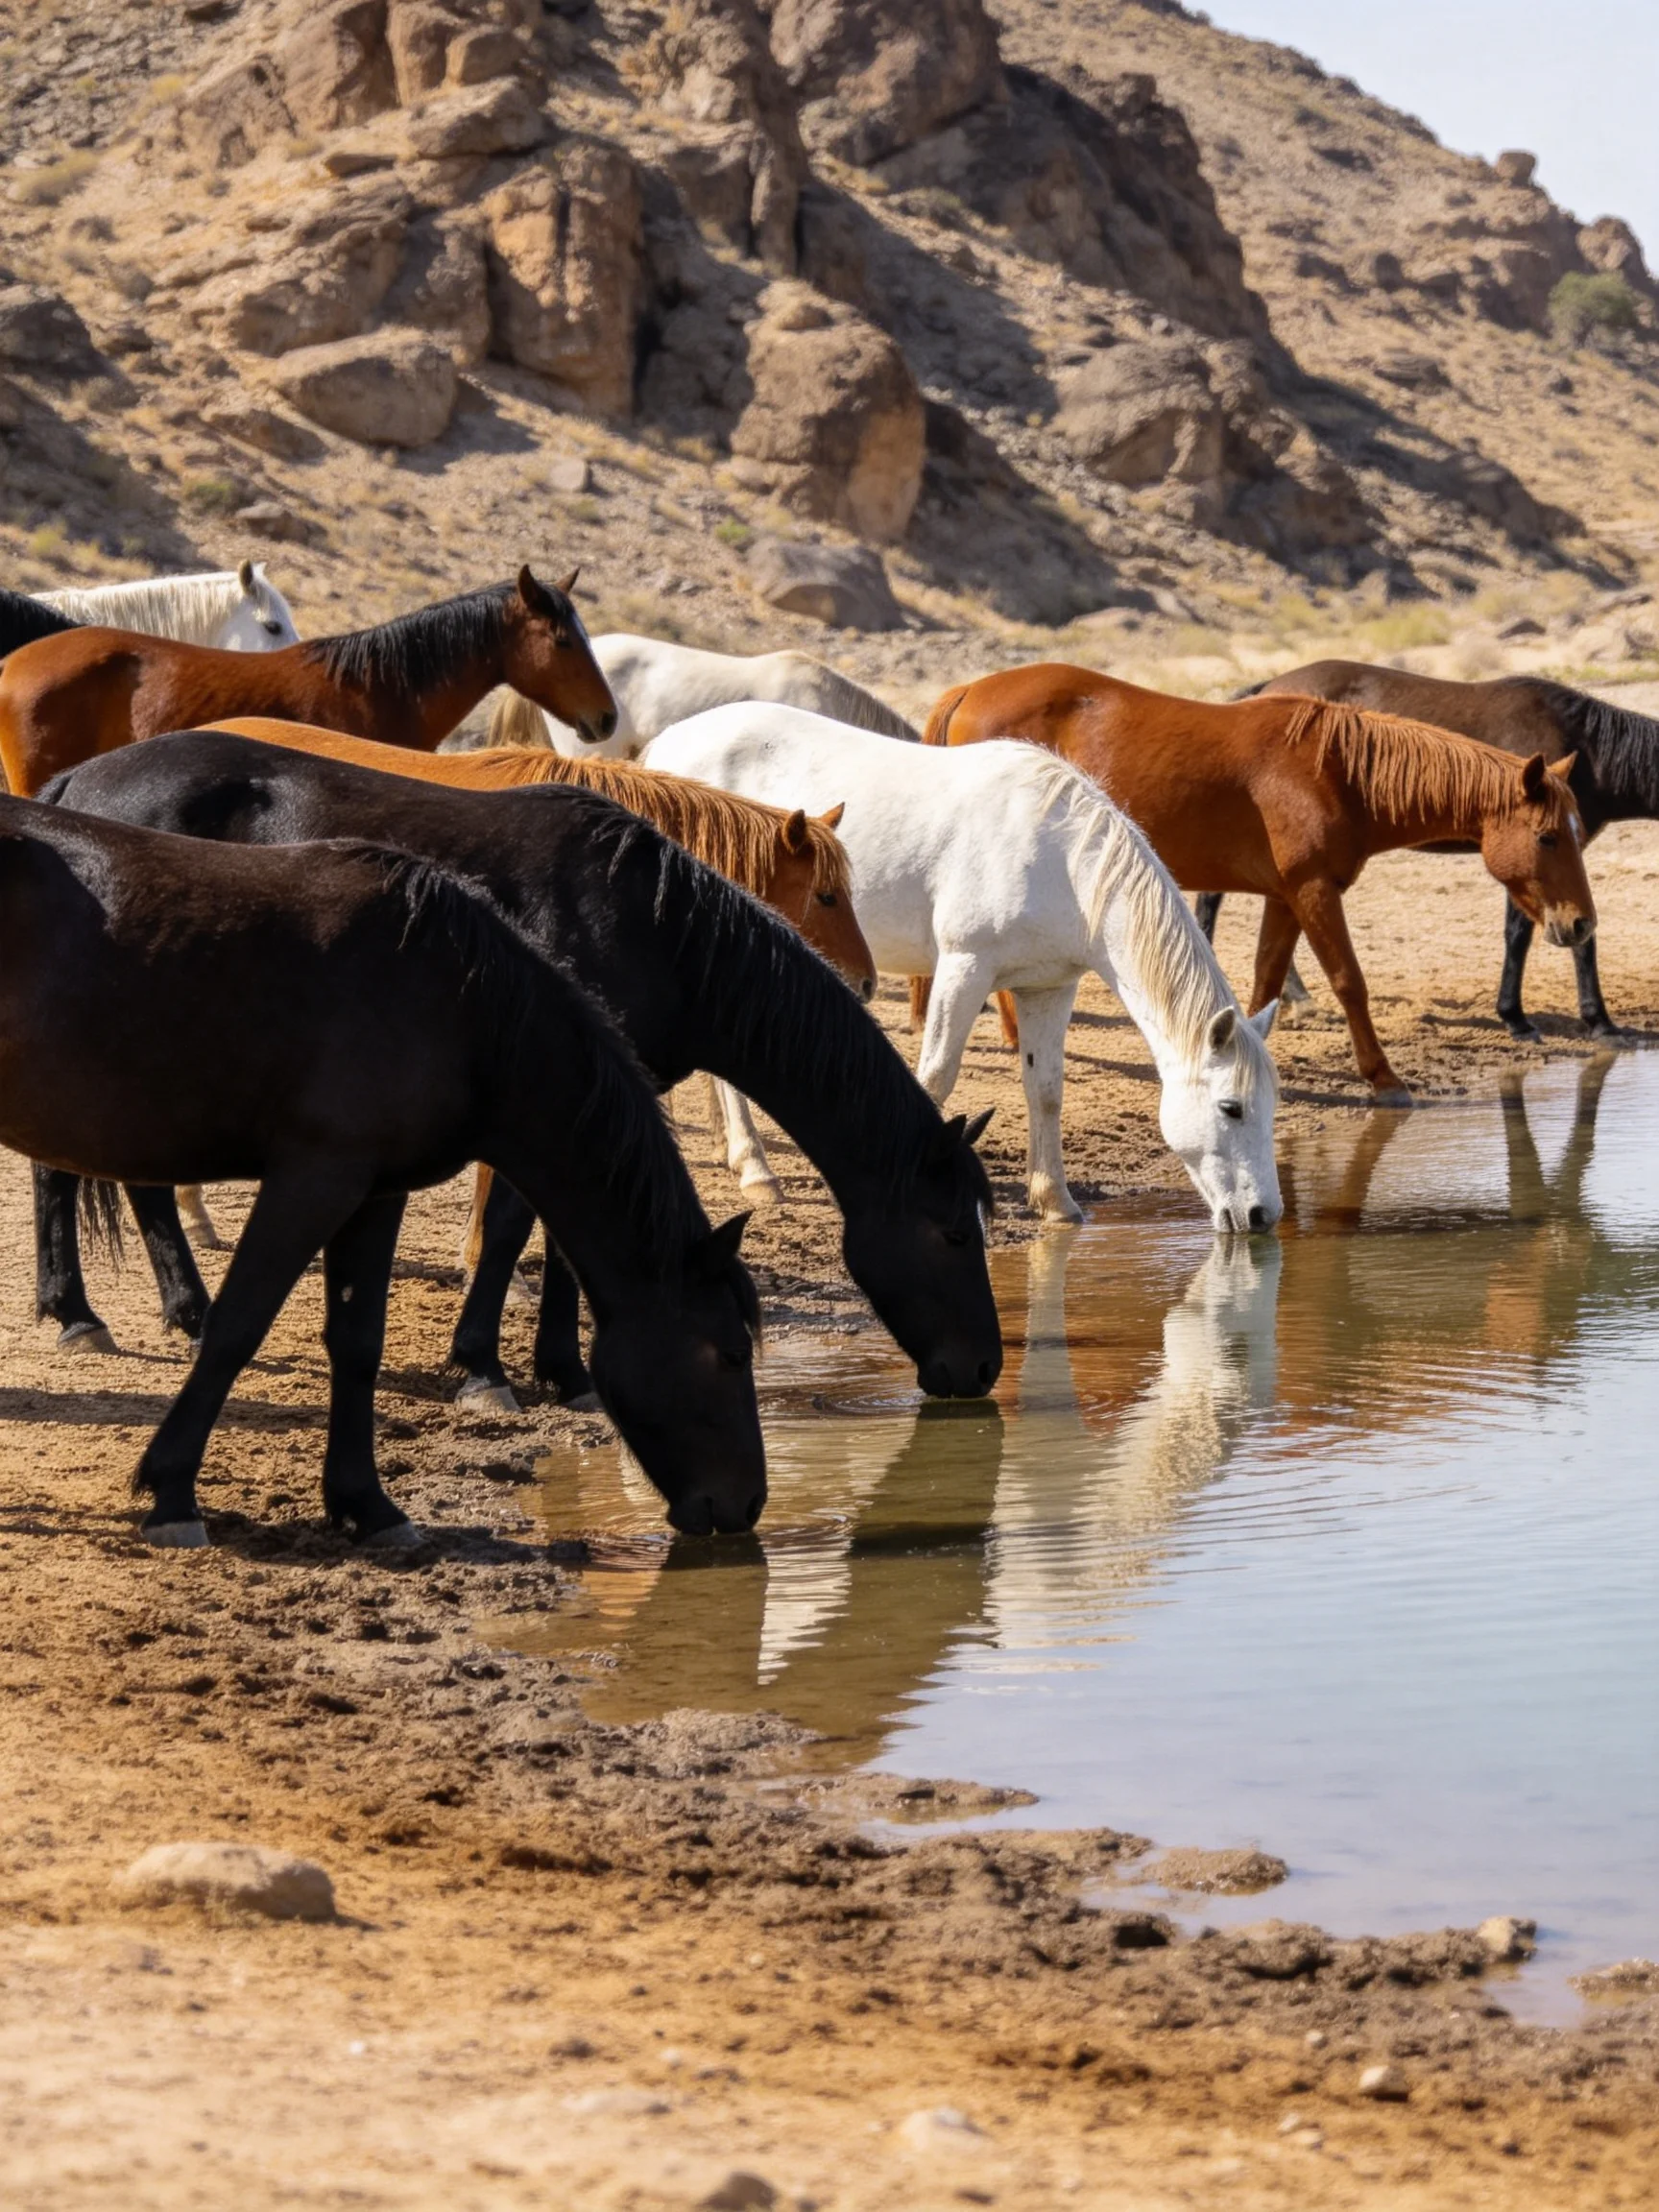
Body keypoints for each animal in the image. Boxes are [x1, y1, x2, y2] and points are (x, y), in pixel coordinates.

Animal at [0, 794, 765, 1543]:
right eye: (731, 1353)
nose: (749, 1505)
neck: (456, 1005)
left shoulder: (374, 1193)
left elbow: (358, 1341)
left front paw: (366, 1505)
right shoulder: (314, 1181)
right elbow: (236, 1328)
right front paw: (173, 1494)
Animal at [43, 728, 1002, 1412]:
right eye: (956, 1233)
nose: (986, 1368)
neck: (647, 923)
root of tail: (74, 784)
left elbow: (556, 1237)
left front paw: (562, 1369)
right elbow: (514, 1226)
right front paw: (486, 1369)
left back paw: (138, 1308)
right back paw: (113, 1311)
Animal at [639, 704, 1283, 1230]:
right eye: (1231, 1107)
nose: (1263, 1215)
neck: (1060, 861)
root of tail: (664, 746)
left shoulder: (1049, 988)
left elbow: (1046, 1090)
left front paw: (1056, 1202)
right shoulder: (963, 970)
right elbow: (935, 1079)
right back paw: (757, 1170)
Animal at [923, 665, 1596, 1102]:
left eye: (1576, 830)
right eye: (1547, 838)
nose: (1581, 923)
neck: (1337, 773)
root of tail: (969, 689)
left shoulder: (1286, 896)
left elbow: (1268, 977)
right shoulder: (1315, 891)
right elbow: (1350, 981)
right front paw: (1384, 1079)